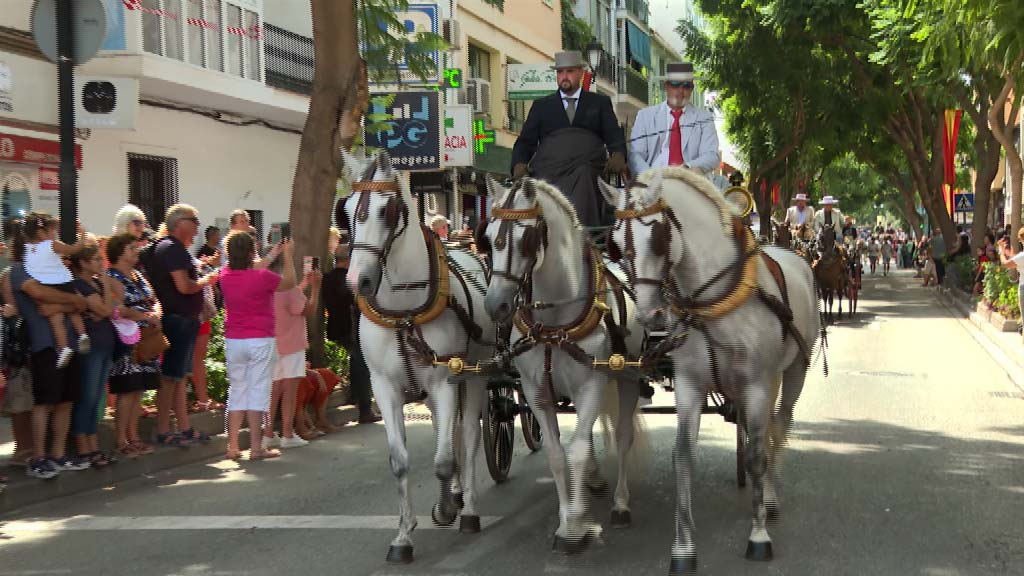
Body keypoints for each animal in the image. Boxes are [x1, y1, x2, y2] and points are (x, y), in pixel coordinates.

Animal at [339, 150, 491, 561]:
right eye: (345, 210)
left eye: (387, 210)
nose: (357, 282)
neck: (402, 312)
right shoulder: (384, 387)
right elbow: (400, 462)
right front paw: (403, 535)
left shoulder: (445, 379)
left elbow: (443, 461)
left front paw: (448, 508)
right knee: (445, 430)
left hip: (473, 376)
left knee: (468, 437)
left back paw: (468, 506)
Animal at [479, 176, 647, 553]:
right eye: (489, 235)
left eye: (526, 238)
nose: (496, 306)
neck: (554, 323)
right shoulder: (537, 391)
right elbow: (558, 456)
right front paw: (569, 520)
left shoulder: (592, 384)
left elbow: (578, 451)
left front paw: (577, 527)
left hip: (627, 378)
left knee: (623, 436)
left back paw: (621, 503)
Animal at [598, 168, 823, 569]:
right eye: (615, 243)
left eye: (659, 236)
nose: (650, 315)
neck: (713, 301)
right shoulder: (690, 386)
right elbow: (684, 456)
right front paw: (683, 548)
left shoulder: (756, 385)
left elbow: (756, 454)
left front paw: (758, 535)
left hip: (794, 369)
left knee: (778, 427)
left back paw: (769, 499)